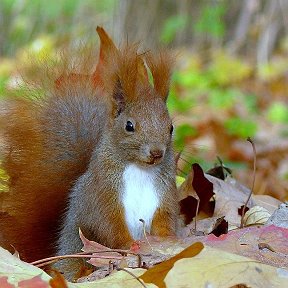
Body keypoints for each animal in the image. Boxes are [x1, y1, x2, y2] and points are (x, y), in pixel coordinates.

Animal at [0, 27, 178, 280]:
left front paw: (166, 243)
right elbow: (109, 226)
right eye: (129, 126)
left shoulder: (165, 195)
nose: (156, 153)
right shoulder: (102, 195)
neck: (140, 169)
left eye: (170, 127)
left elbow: (166, 220)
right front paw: (130, 246)